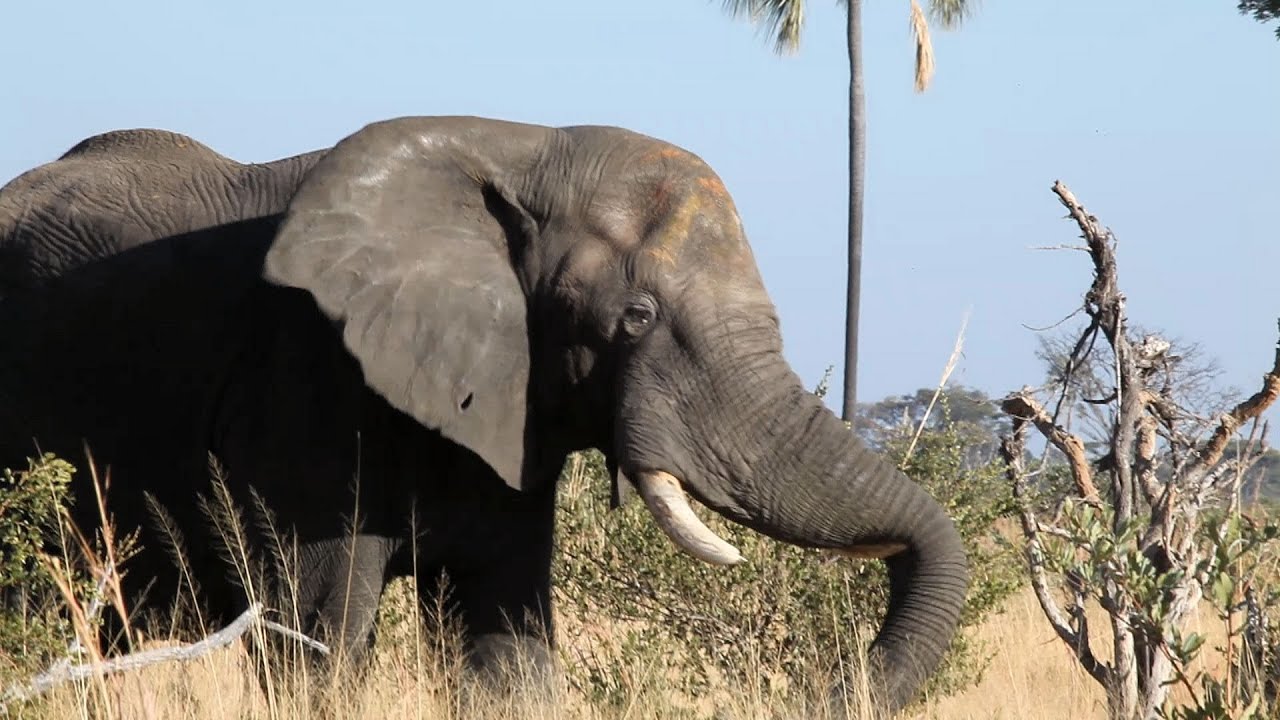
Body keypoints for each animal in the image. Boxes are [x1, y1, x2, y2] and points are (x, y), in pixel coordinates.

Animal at [0, 116, 968, 714]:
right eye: (637, 318)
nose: (821, 687)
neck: (519, 150)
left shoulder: (507, 407)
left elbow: (507, 652)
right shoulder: (302, 383)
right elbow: (316, 648)